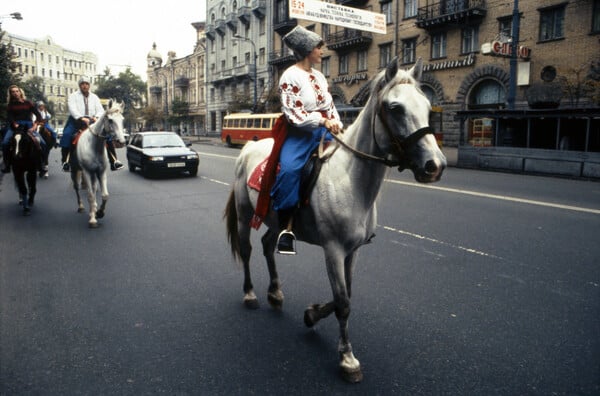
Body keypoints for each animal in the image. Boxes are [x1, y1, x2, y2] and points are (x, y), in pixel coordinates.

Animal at [224, 57, 446, 382]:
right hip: (244, 213)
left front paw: (312, 314)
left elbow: (347, 295)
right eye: (394, 108)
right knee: (247, 249)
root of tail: (249, 148)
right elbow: (343, 302)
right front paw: (347, 359)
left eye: (428, 106)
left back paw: (275, 292)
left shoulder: (353, 251)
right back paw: (250, 294)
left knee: (267, 245)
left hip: (276, 221)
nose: (435, 165)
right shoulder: (333, 250)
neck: (349, 180)